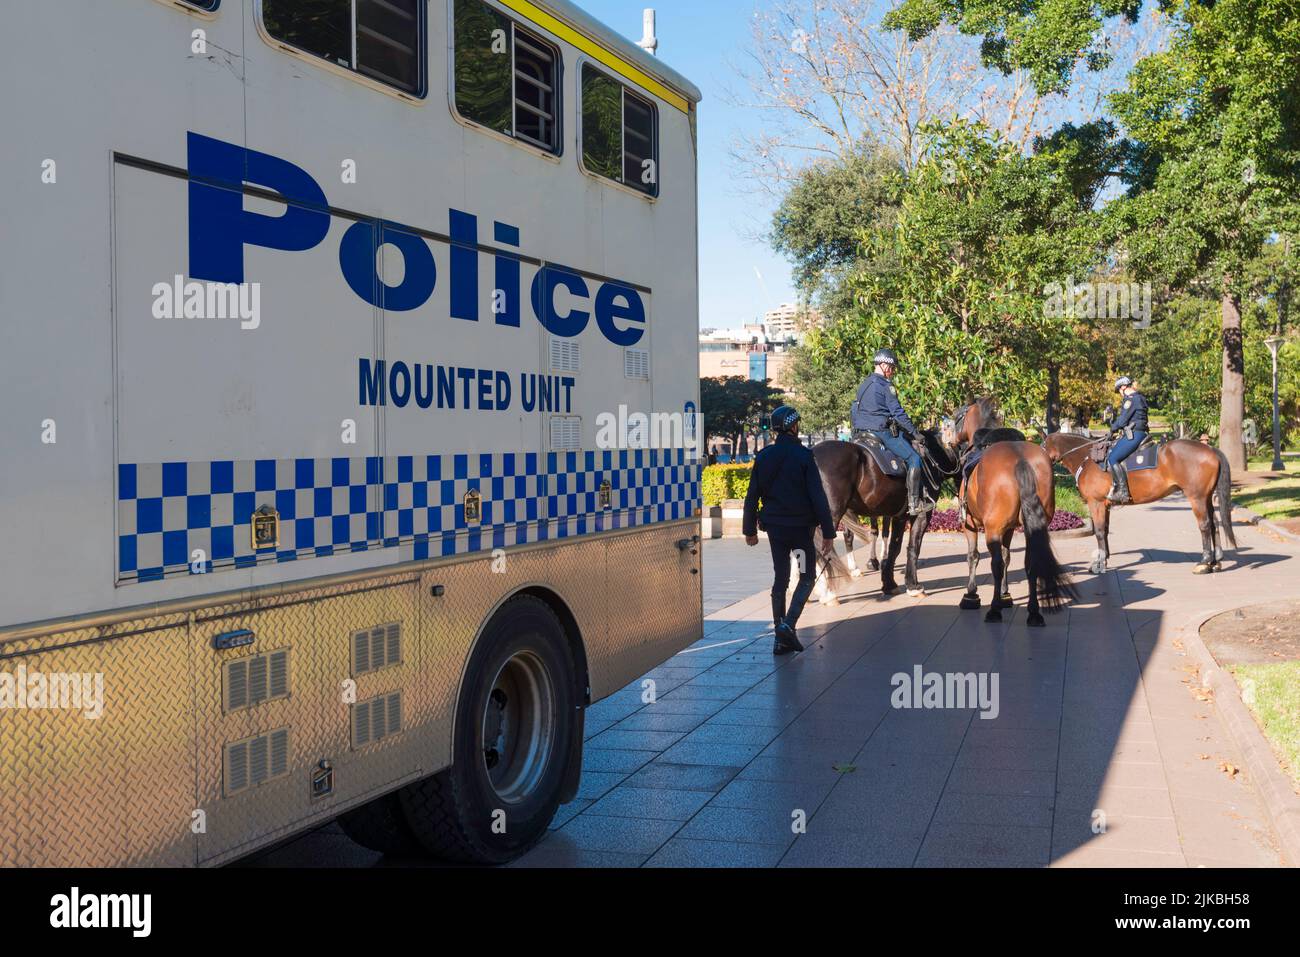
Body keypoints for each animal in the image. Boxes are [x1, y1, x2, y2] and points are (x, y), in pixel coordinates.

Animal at [935, 418, 1076, 629]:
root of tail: (1020, 459)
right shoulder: (1008, 528)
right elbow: (1007, 555)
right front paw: (1005, 594)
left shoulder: (969, 524)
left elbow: (974, 556)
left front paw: (971, 594)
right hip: (1032, 527)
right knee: (1030, 562)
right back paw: (1033, 612)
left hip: (991, 528)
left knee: (996, 564)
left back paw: (994, 609)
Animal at [1040, 434, 1232, 574]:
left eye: (1042, 446)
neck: (1087, 459)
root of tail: (1209, 449)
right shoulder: (1106, 505)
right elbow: (1106, 530)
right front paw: (1104, 558)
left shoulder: (1096, 503)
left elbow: (1099, 532)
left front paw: (1099, 563)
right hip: (1206, 497)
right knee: (1214, 524)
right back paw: (1215, 561)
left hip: (1197, 498)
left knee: (1205, 525)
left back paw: (1204, 562)